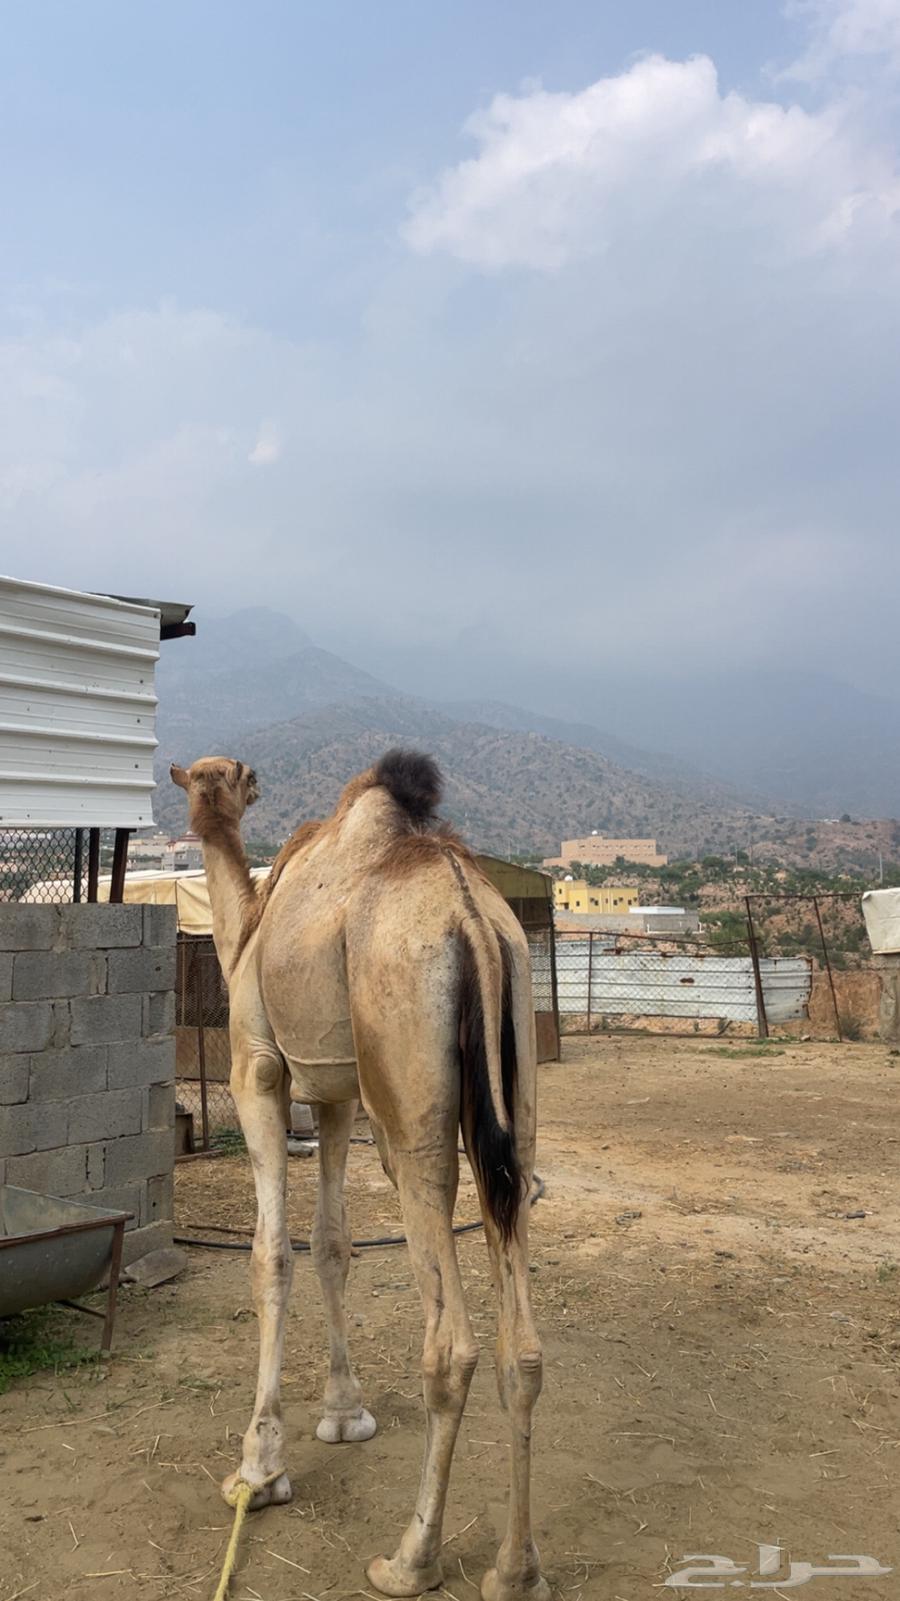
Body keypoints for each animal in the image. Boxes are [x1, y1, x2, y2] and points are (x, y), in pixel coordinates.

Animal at [170, 749, 549, 1601]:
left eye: (222, 779)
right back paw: (515, 1570)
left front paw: (258, 1470)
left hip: (411, 1118)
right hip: (516, 1109)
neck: (245, 930)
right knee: (522, 1344)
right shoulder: (335, 1092)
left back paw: (410, 1558)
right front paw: (345, 1415)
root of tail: (474, 921)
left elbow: (271, 1255)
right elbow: (332, 1244)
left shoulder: (259, 1068)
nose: (223, 789)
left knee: (451, 1345)